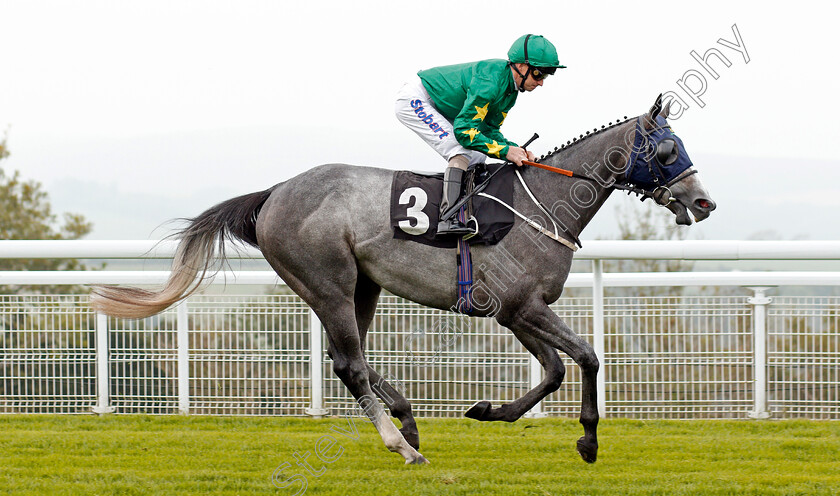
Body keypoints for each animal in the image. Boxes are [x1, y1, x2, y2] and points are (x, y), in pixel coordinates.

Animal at [90, 96, 716, 464]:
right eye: (667, 148)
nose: (702, 202)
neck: (544, 200)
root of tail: (273, 193)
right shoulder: (524, 307)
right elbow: (585, 356)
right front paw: (587, 440)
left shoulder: (517, 311)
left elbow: (555, 369)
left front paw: (491, 411)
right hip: (329, 283)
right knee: (348, 362)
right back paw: (400, 443)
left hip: (361, 287)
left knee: (352, 359)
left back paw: (409, 421)